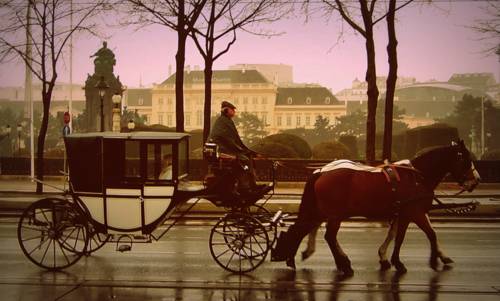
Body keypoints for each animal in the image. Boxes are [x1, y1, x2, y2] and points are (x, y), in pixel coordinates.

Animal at [272, 141, 482, 274]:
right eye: (466, 159)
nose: (476, 180)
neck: (417, 177)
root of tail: (321, 171)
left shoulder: (403, 212)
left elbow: (395, 235)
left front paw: (386, 257)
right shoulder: (413, 212)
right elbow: (424, 234)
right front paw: (416, 261)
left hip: (325, 211)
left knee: (308, 228)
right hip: (335, 214)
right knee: (328, 235)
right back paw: (343, 263)